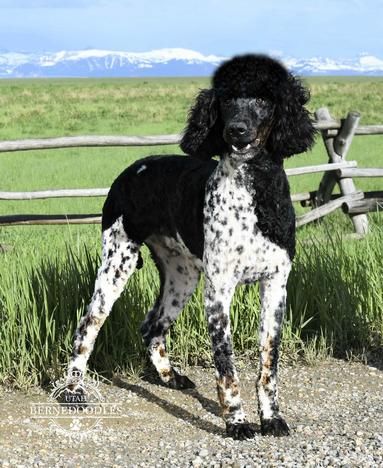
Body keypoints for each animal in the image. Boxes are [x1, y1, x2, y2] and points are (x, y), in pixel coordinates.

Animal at [67, 54, 316, 438]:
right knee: (87, 326)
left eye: (264, 99)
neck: (254, 192)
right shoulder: (219, 292)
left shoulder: (276, 285)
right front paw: (237, 422)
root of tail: (133, 168)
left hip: (181, 276)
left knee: (151, 326)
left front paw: (271, 418)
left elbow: (268, 362)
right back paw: (73, 389)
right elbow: (226, 365)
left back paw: (169, 376)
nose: (236, 130)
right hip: (117, 264)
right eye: (225, 100)